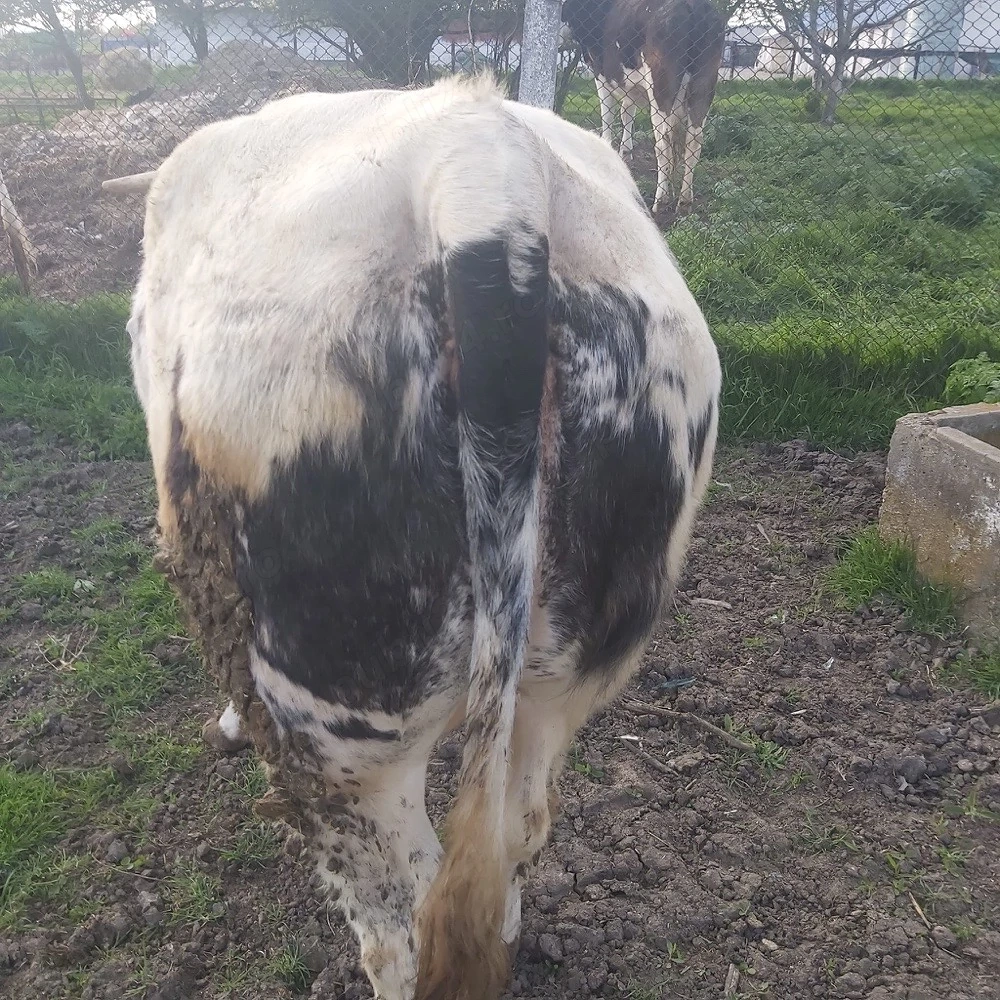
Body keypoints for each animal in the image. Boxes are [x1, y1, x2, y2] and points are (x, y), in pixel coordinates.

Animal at [562, 0, 726, 218]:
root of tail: (694, 6)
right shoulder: (629, 85)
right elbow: (627, 113)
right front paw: (625, 153)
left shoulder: (602, 74)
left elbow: (608, 117)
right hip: (704, 83)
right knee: (693, 141)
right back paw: (684, 202)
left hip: (660, 84)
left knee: (663, 141)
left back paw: (660, 201)